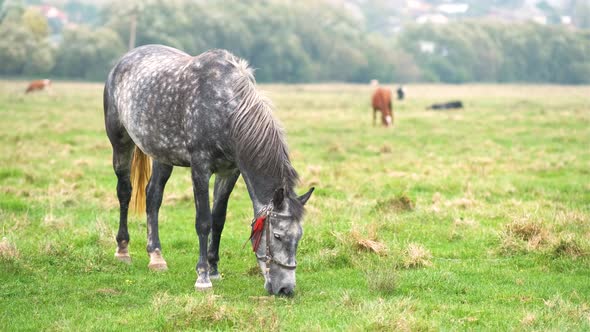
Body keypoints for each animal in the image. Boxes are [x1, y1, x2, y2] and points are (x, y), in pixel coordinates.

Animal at [103, 44, 314, 296]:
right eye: (277, 236)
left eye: (298, 237)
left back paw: (156, 256)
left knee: (152, 196)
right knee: (125, 191)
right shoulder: (200, 168)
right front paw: (203, 276)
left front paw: (214, 268)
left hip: (162, 155)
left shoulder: (229, 172)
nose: (285, 289)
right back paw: (122, 249)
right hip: (120, 143)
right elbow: (203, 221)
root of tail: (123, 61)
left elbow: (218, 219)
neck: (226, 110)